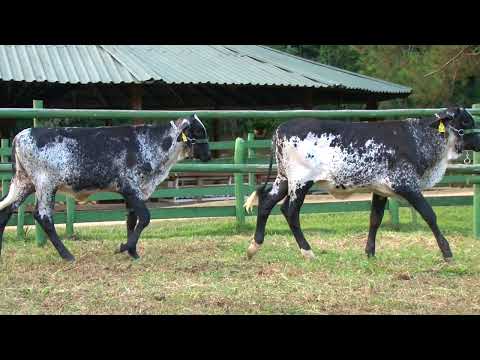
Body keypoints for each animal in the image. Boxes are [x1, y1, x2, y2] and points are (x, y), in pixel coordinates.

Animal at [0, 114, 210, 262]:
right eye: (198, 132)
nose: (208, 155)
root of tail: (20, 135)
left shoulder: (134, 192)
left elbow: (132, 220)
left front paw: (133, 252)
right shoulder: (129, 187)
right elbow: (145, 218)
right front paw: (123, 247)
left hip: (24, 183)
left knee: (6, 210)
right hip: (45, 184)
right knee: (43, 217)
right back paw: (67, 255)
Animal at [246, 107, 480, 262]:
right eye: (466, 122)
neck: (420, 138)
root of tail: (281, 127)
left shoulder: (380, 189)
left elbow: (375, 219)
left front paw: (369, 253)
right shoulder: (406, 184)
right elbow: (429, 214)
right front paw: (447, 253)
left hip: (284, 179)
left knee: (266, 203)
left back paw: (254, 246)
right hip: (301, 181)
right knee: (290, 210)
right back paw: (307, 252)